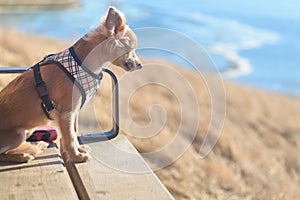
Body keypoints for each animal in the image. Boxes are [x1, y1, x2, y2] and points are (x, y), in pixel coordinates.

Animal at [0, 7, 142, 162]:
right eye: (131, 49)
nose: (140, 65)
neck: (81, 64)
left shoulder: (74, 112)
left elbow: (74, 132)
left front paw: (79, 149)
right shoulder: (67, 112)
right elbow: (69, 137)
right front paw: (76, 156)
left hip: (28, 130)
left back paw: (34, 146)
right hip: (18, 133)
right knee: (2, 154)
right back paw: (22, 155)